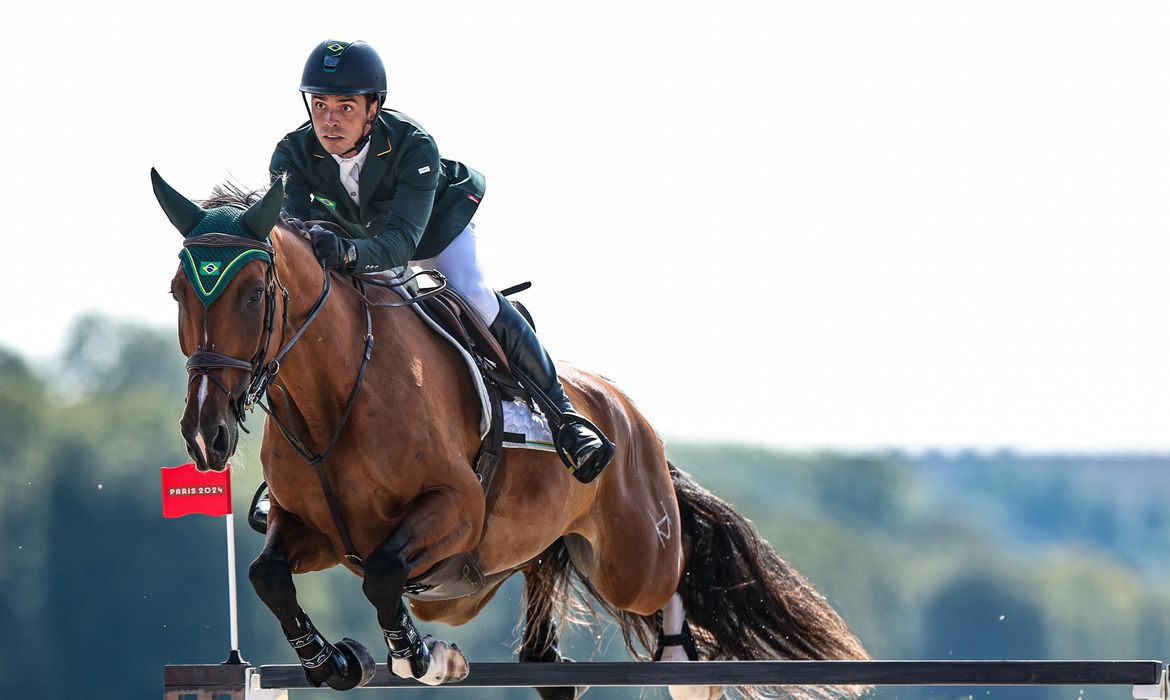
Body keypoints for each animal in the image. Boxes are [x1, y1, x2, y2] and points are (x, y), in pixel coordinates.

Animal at [150, 169, 870, 700]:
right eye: (179, 290)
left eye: (253, 293)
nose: (207, 435)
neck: (333, 398)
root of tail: (631, 417)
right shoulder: (316, 530)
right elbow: (268, 575)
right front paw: (333, 661)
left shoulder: (454, 511)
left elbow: (383, 575)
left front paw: (423, 658)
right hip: (527, 564)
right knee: (546, 654)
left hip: (629, 557)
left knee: (670, 578)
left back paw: (686, 672)